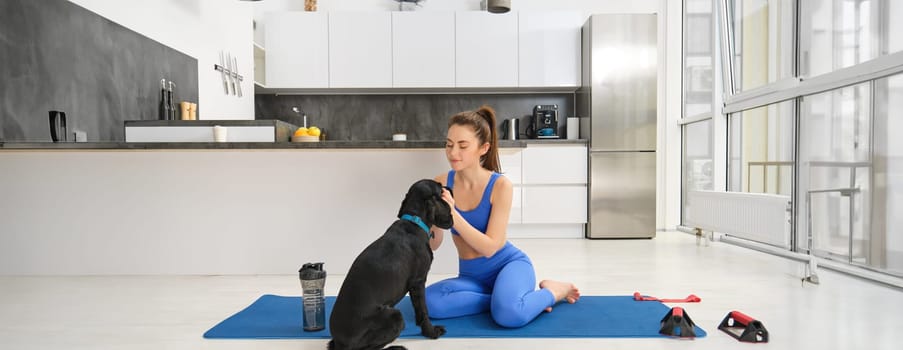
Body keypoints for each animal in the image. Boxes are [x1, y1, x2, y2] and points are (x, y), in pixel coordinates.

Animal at [330, 179, 456, 348]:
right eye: (441, 190)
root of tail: (339, 342)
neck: (414, 222)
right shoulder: (418, 282)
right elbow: (423, 310)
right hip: (395, 316)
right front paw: (431, 332)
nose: (450, 188)